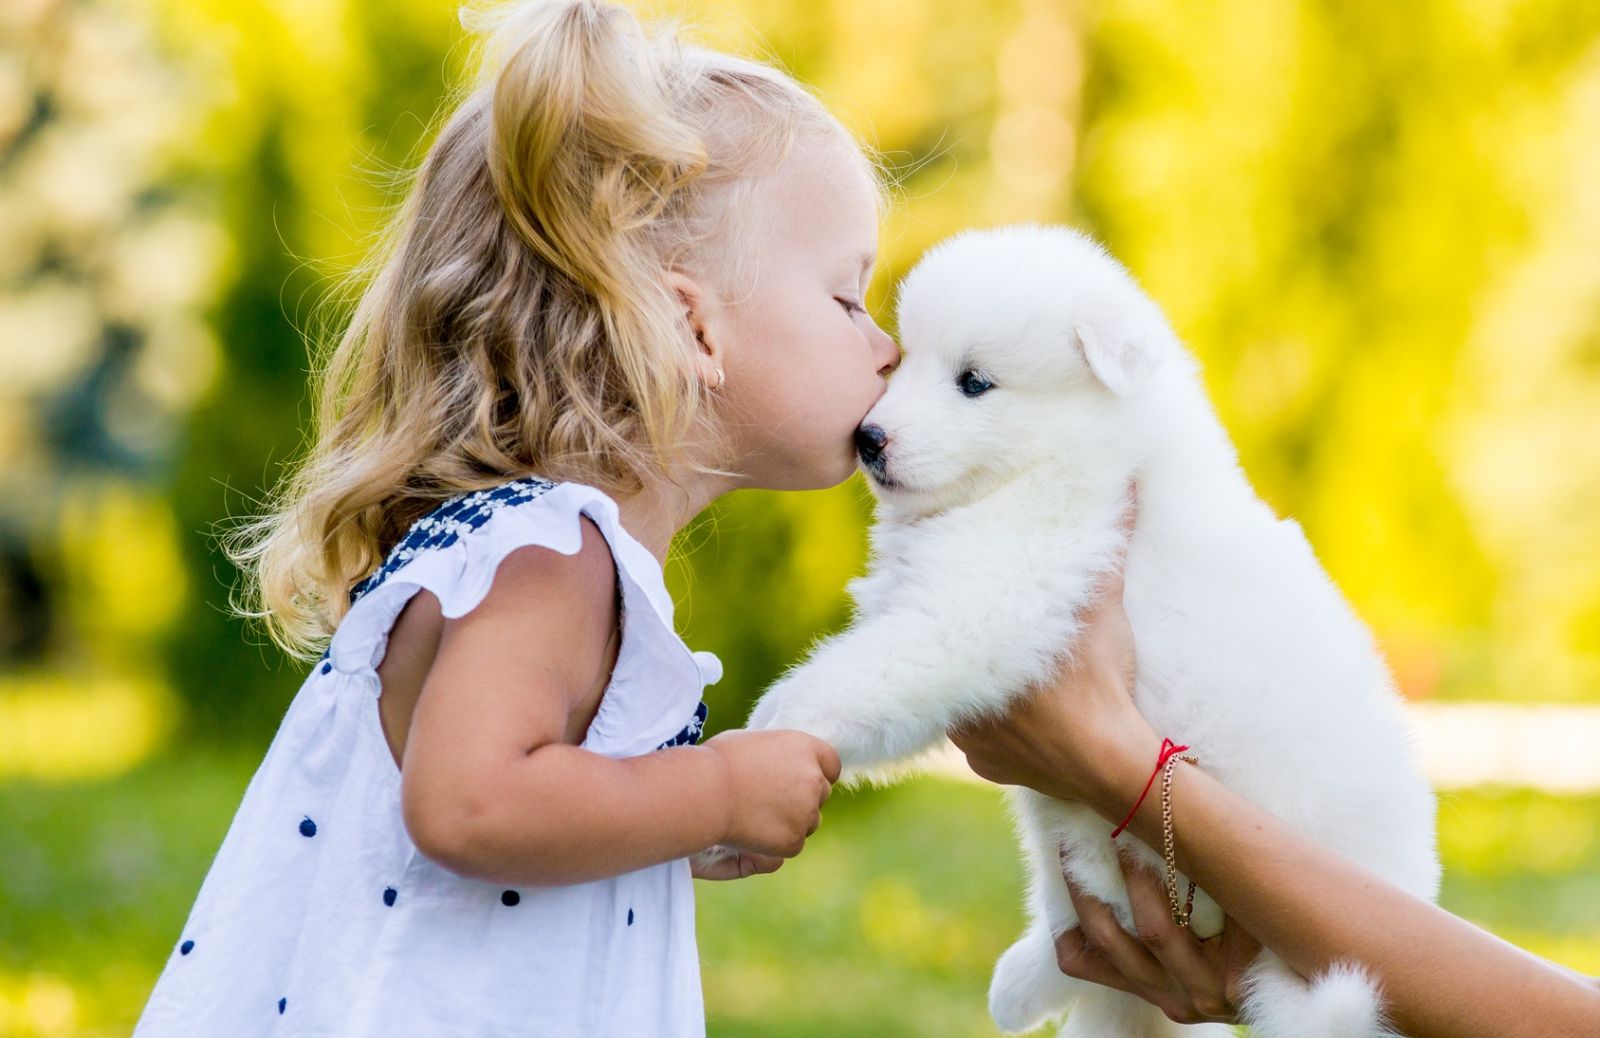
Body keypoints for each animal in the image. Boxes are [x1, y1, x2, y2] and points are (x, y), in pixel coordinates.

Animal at [742, 223, 1446, 1036]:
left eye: (974, 382)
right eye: (904, 360)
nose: (868, 438)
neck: (1067, 458)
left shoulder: (987, 602)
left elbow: (867, 672)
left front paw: (769, 731)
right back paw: (1020, 985)